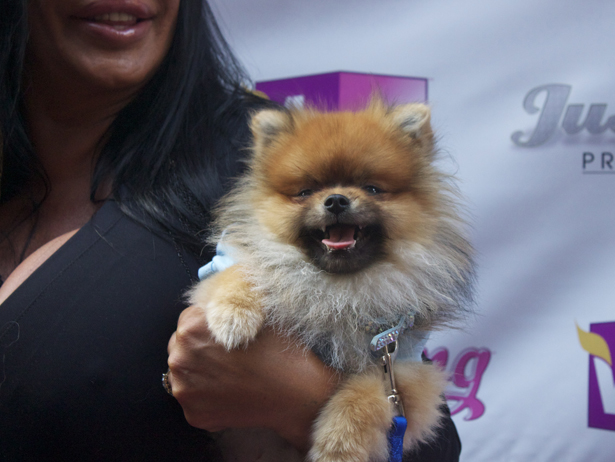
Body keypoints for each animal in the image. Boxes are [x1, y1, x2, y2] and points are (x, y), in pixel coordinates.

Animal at [190, 100, 474, 462]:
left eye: (372, 188)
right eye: (305, 191)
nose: (336, 199)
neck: (337, 285)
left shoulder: (402, 371)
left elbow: (363, 399)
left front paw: (338, 448)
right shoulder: (223, 267)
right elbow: (247, 270)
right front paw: (233, 316)